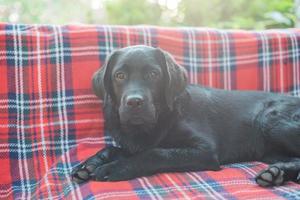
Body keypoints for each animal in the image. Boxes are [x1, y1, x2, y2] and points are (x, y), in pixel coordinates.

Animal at [71, 44, 300, 187]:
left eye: (153, 74)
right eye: (119, 76)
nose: (134, 102)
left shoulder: (206, 150)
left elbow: (155, 153)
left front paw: (115, 168)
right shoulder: (133, 144)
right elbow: (114, 148)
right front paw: (89, 164)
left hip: (270, 119)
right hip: (269, 150)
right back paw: (275, 174)